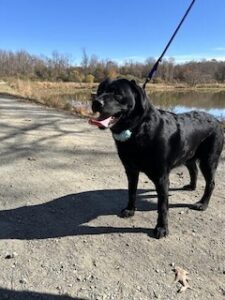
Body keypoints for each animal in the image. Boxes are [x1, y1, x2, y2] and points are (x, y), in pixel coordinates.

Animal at [89, 78, 224, 238]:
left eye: (117, 93)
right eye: (100, 91)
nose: (95, 102)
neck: (139, 129)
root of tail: (216, 120)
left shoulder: (161, 178)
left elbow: (162, 206)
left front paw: (161, 228)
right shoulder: (131, 170)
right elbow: (131, 192)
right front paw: (130, 210)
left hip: (208, 160)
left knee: (211, 183)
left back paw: (202, 204)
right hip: (188, 154)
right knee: (194, 170)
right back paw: (191, 186)